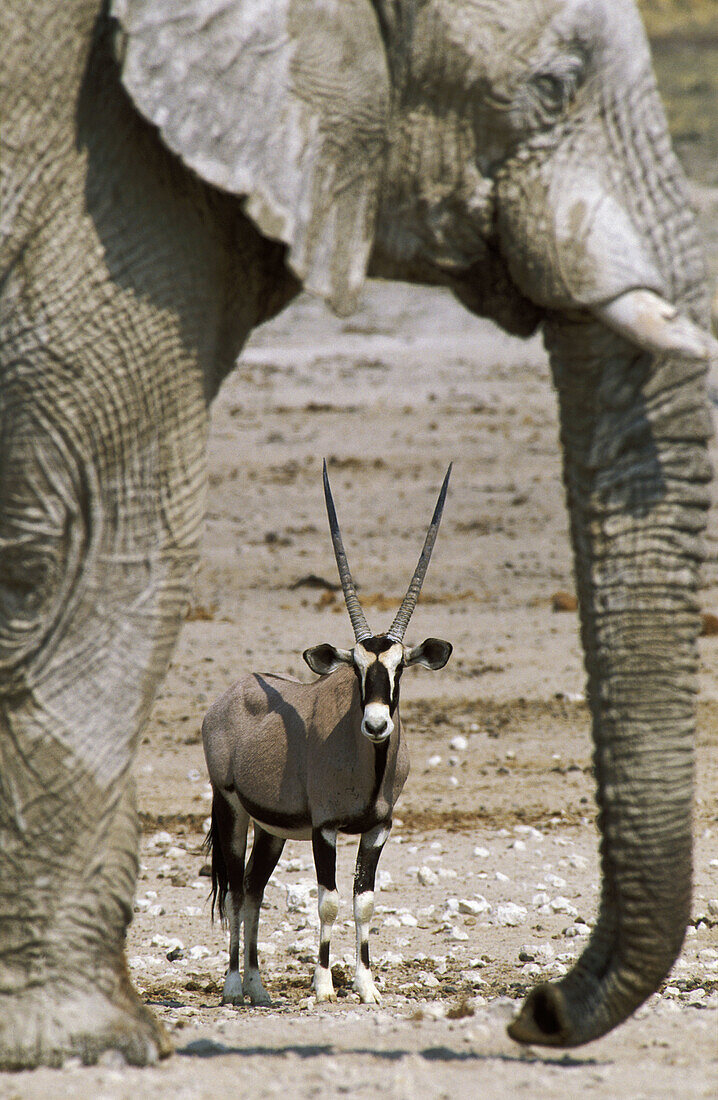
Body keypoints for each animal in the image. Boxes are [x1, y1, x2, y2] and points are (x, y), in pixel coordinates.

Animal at [0, 0, 712, 1069]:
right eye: (355, 666)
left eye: (404, 667)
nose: (375, 725)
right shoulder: (330, 830)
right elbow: (329, 906)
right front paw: (332, 984)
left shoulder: (374, 831)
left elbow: (368, 905)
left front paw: (370, 984)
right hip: (233, 808)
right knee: (240, 888)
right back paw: (241, 982)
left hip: (269, 824)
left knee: (255, 883)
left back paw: (256, 983)